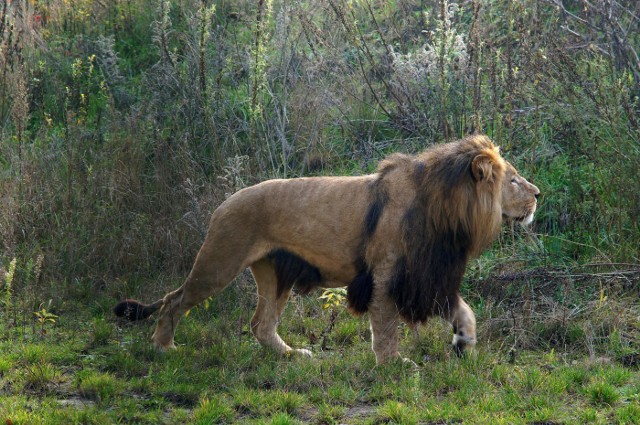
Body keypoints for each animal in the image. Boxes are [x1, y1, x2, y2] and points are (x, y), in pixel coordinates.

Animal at [116, 134, 540, 362]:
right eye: (514, 180)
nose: (538, 194)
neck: (449, 214)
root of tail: (223, 203)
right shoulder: (386, 275)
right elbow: (385, 326)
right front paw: (393, 364)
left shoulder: (426, 276)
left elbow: (465, 311)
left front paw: (464, 343)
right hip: (219, 262)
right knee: (174, 300)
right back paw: (163, 347)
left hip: (275, 273)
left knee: (260, 324)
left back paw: (290, 355)